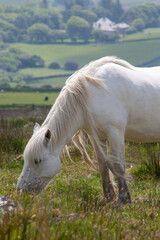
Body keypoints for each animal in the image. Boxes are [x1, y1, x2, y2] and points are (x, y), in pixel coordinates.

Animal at [16, 55, 160, 204]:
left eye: (37, 161)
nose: (21, 190)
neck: (92, 93)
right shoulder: (97, 137)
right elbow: (103, 167)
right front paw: (109, 198)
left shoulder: (115, 133)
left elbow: (119, 166)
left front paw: (123, 199)